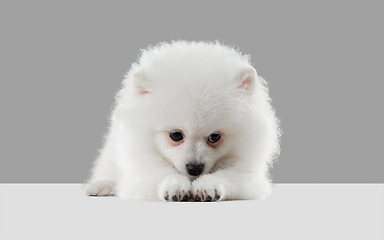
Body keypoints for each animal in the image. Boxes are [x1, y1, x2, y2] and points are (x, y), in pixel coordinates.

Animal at [85, 40, 280, 201]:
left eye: (215, 137)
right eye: (176, 135)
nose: (194, 168)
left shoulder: (247, 172)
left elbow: (230, 175)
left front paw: (208, 187)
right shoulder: (143, 167)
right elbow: (160, 173)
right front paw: (174, 187)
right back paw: (100, 185)